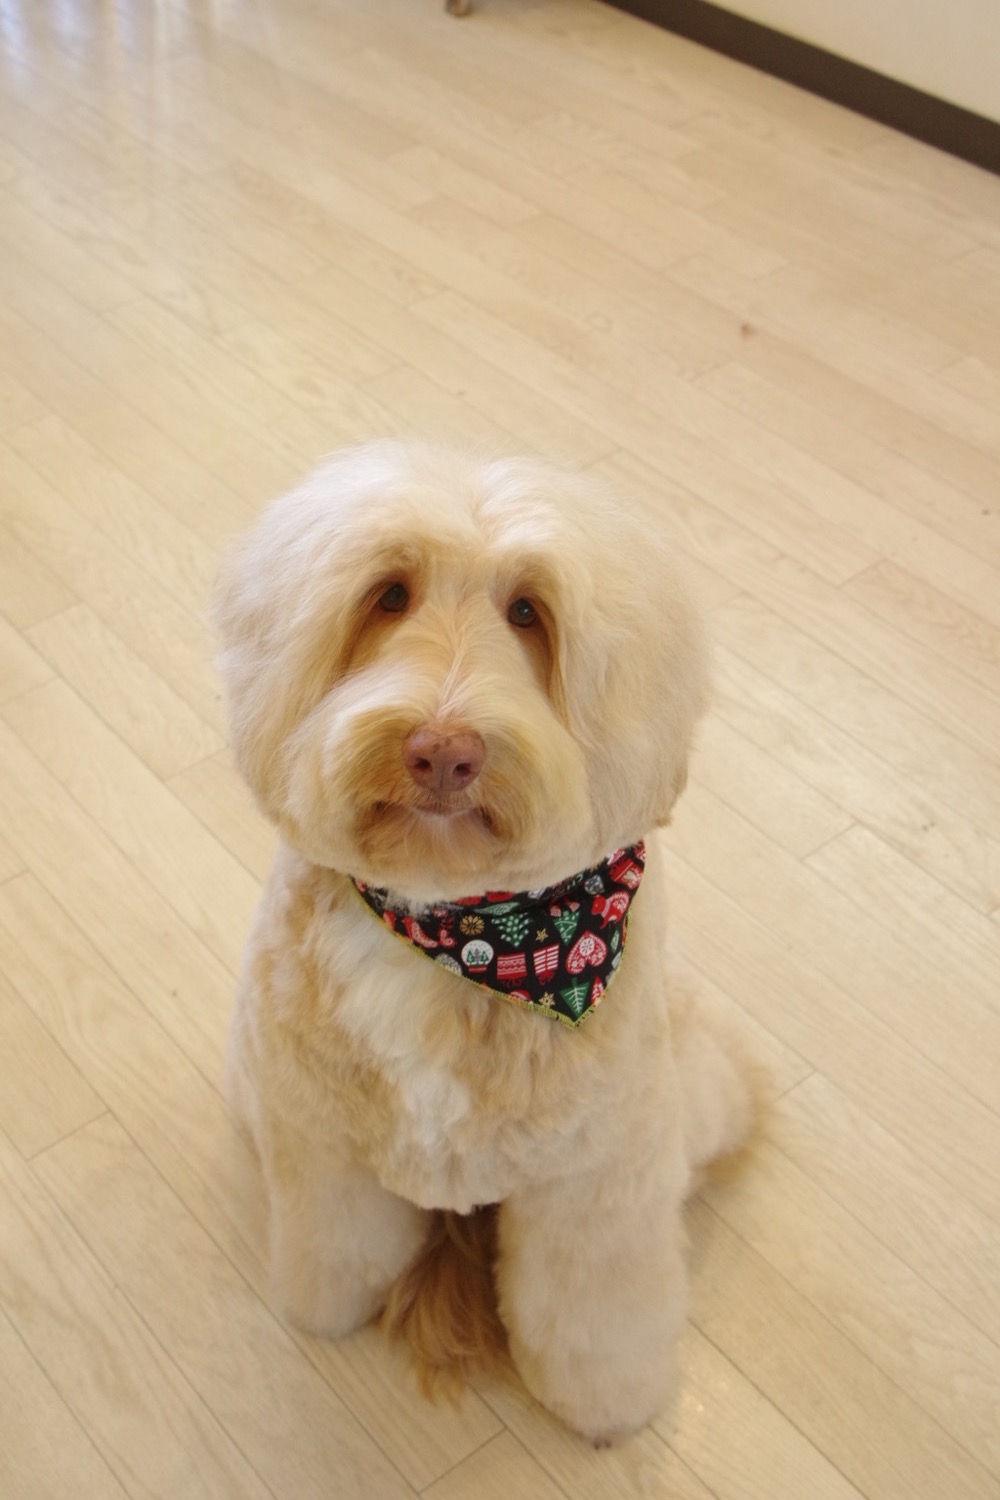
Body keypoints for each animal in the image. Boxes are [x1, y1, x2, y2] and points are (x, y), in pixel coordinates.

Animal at [215, 441, 754, 1443]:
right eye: (389, 595)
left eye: (529, 612)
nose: (441, 750)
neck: (471, 937)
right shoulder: (322, 1145)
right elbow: (338, 1248)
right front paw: (327, 1310)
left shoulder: (596, 1186)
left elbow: (592, 1316)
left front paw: (604, 1408)